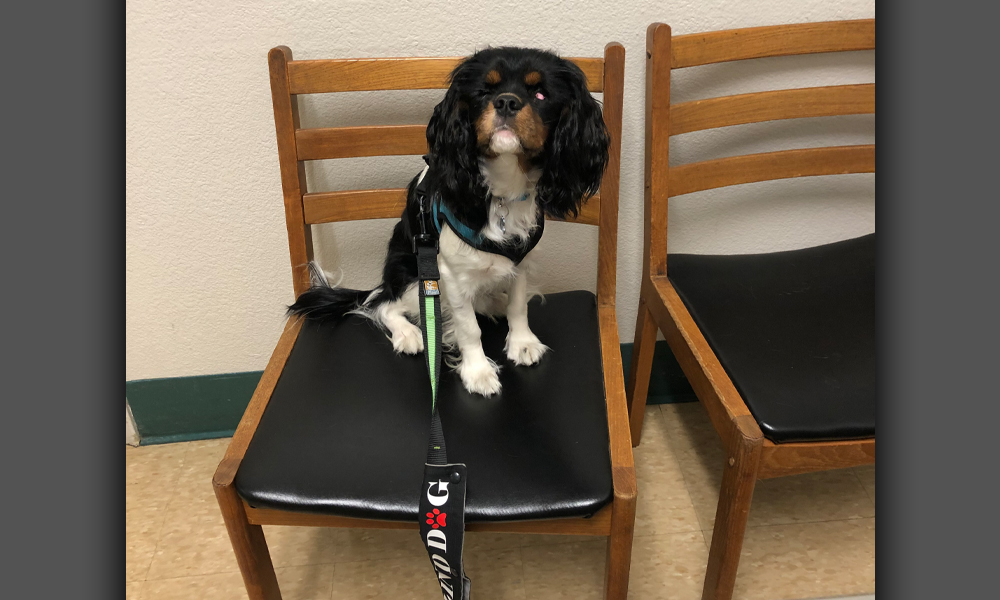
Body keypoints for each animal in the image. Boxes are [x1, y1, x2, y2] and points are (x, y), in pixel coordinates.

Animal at [290, 48, 608, 398]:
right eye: (484, 92)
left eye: (540, 94)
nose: (506, 102)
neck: (500, 190)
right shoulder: (449, 273)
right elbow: (468, 327)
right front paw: (478, 371)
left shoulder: (520, 261)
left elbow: (518, 304)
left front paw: (522, 343)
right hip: (409, 273)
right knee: (384, 304)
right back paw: (408, 334)